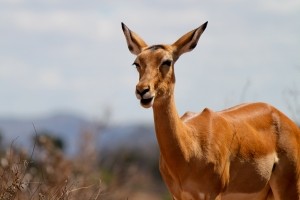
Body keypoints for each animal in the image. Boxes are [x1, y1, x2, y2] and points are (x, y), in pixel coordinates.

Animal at [120, 21, 300, 199]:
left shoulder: (213, 194)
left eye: (167, 61)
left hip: (290, 188)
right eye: (137, 63)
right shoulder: (177, 195)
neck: (189, 147)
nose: (143, 90)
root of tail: (284, 118)